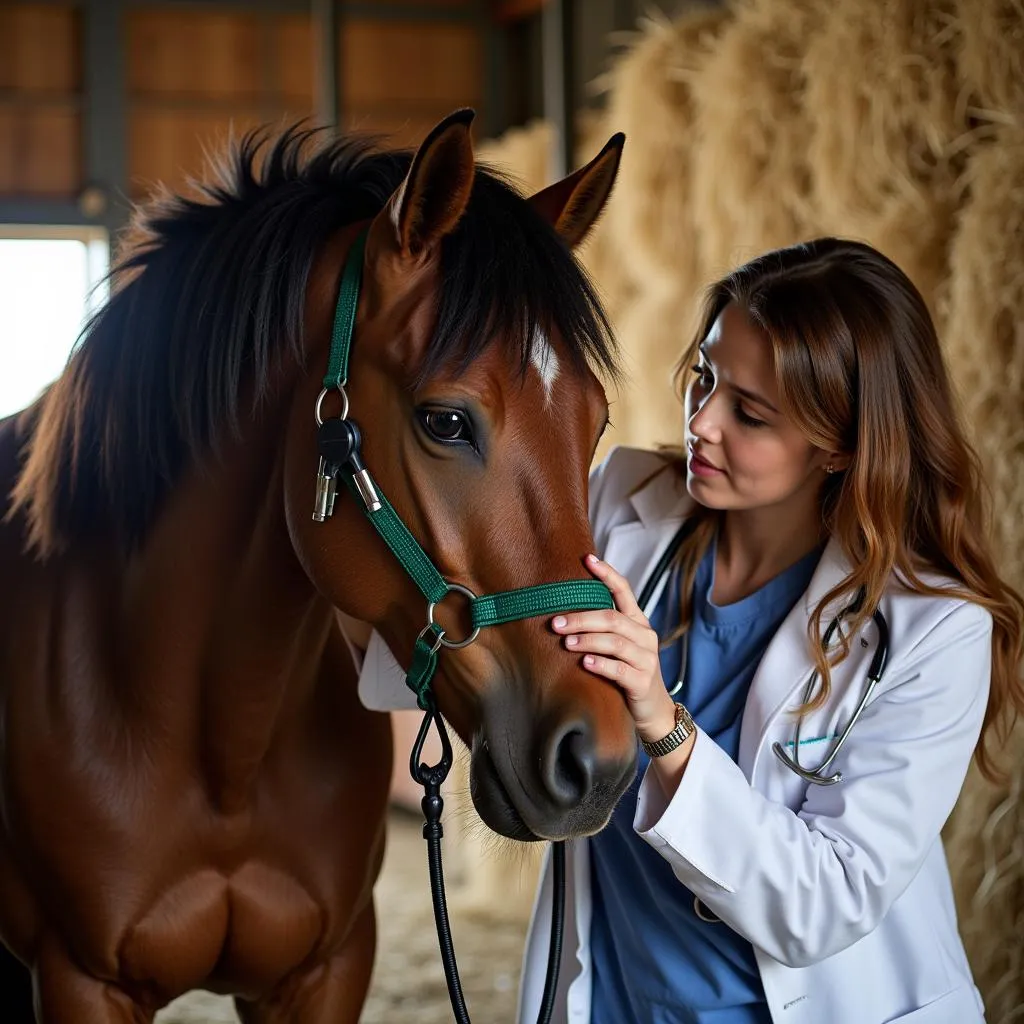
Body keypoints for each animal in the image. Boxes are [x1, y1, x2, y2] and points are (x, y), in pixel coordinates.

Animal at [0, 108, 638, 1019]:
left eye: (595, 422)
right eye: (445, 421)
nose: (600, 762)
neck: (217, 748)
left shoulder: (325, 970)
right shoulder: (80, 981)